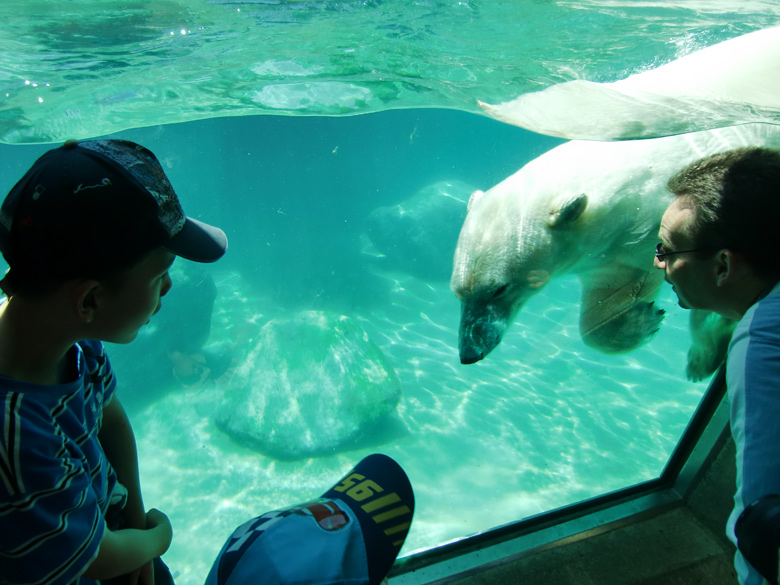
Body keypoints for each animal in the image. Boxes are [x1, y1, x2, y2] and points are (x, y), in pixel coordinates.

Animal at [454, 123, 780, 378]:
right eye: (459, 292)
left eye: (499, 289)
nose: (469, 352)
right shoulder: (606, 251)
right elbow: (609, 295)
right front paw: (642, 319)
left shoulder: (644, 233)